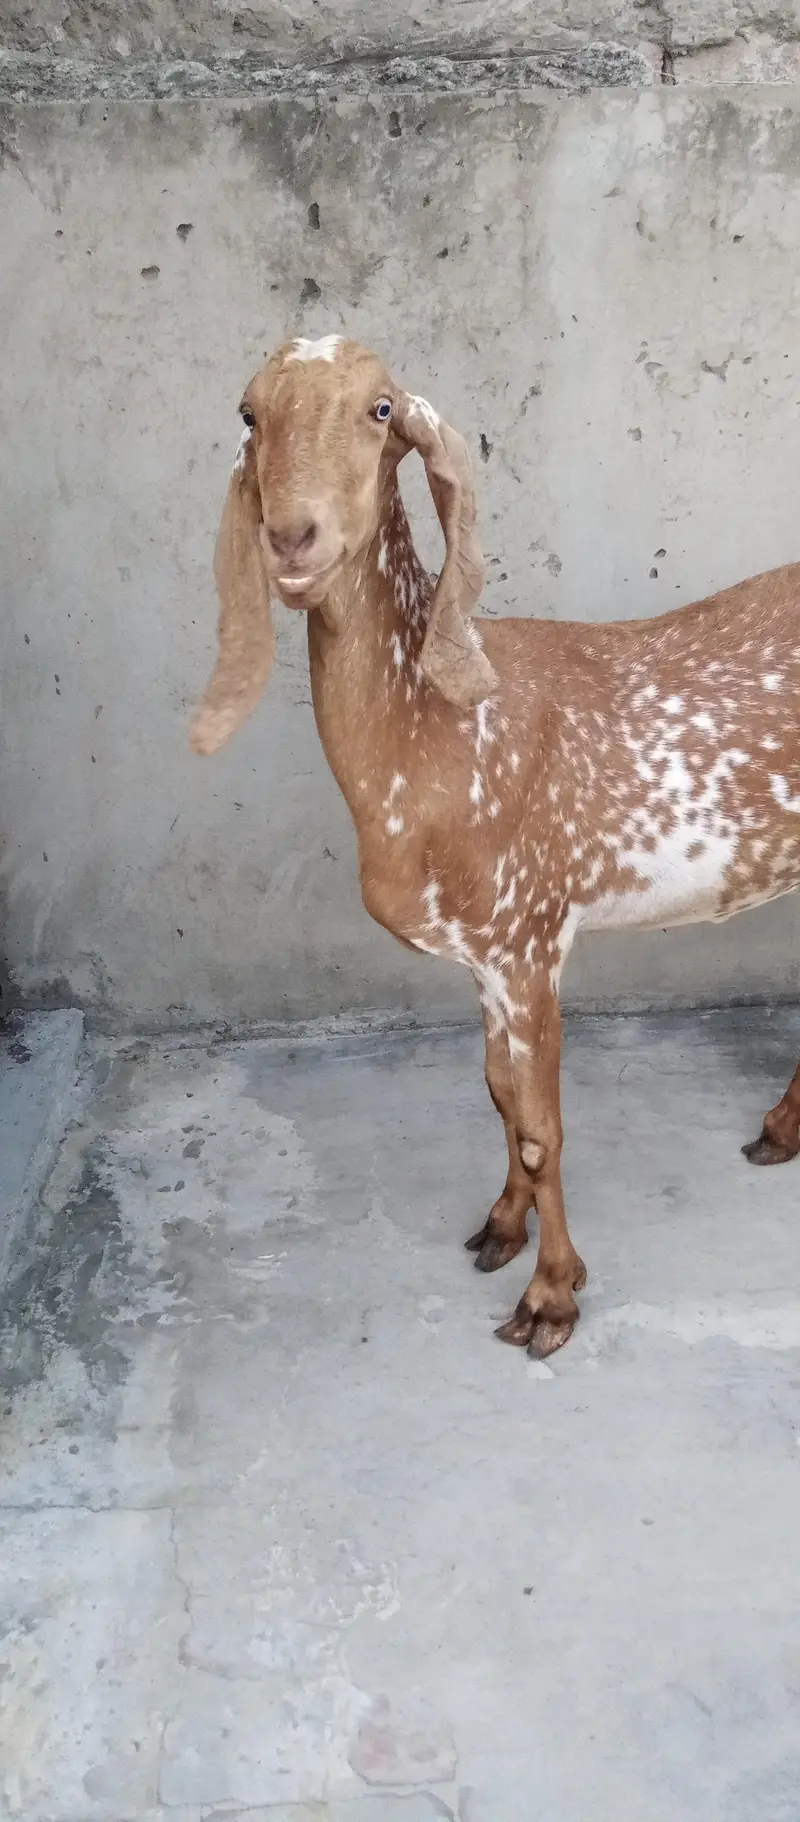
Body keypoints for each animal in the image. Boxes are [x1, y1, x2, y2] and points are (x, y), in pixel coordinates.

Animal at [191, 333, 800, 1359]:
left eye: (381, 409)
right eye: (249, 412)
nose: (293, 538)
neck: (438, 732)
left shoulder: (532, 941)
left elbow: (542, 1127)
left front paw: (552, 1295)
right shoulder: (483, 956)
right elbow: (499, 1097)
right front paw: (503, 1228)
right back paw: (782, 1128)